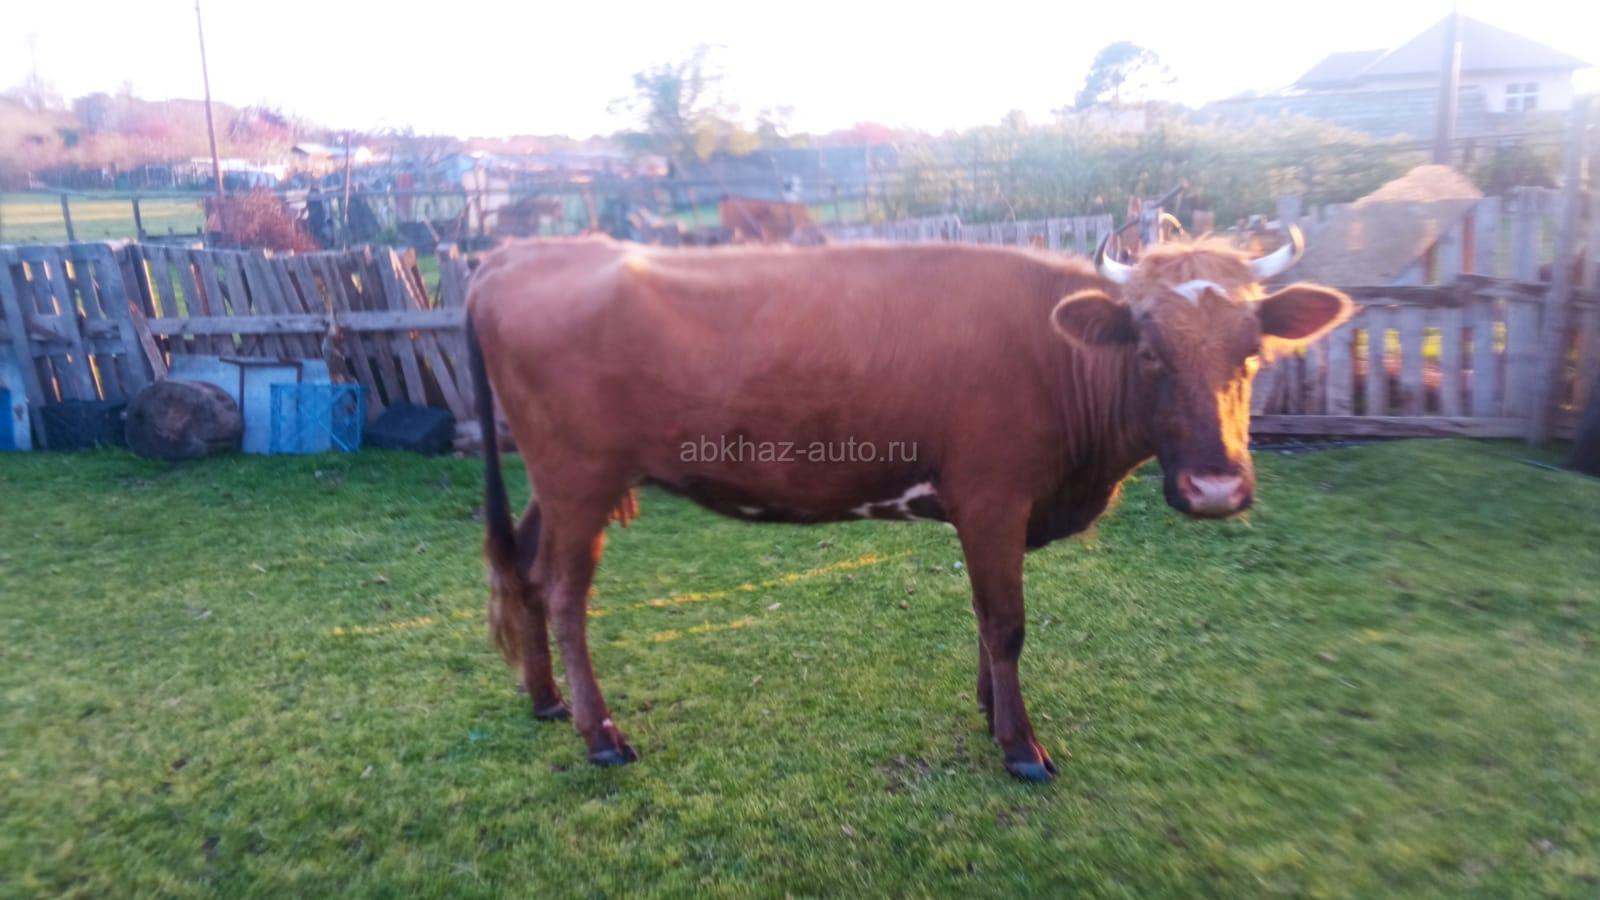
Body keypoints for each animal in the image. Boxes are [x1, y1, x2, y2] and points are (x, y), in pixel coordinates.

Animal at [463, 228, 1352, 781]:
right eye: (1149, 349)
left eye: (1253, 349)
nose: (1216, 490)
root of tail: (515, 254)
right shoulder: (994, 496)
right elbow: (1007, 623)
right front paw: (1019, 745)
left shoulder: (987, 511)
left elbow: (984, 619)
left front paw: (990, 710)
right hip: (578, 476)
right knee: (566, 594)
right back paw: (601, 735)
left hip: (562, 484)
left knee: (527, 572)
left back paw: (544, 699)